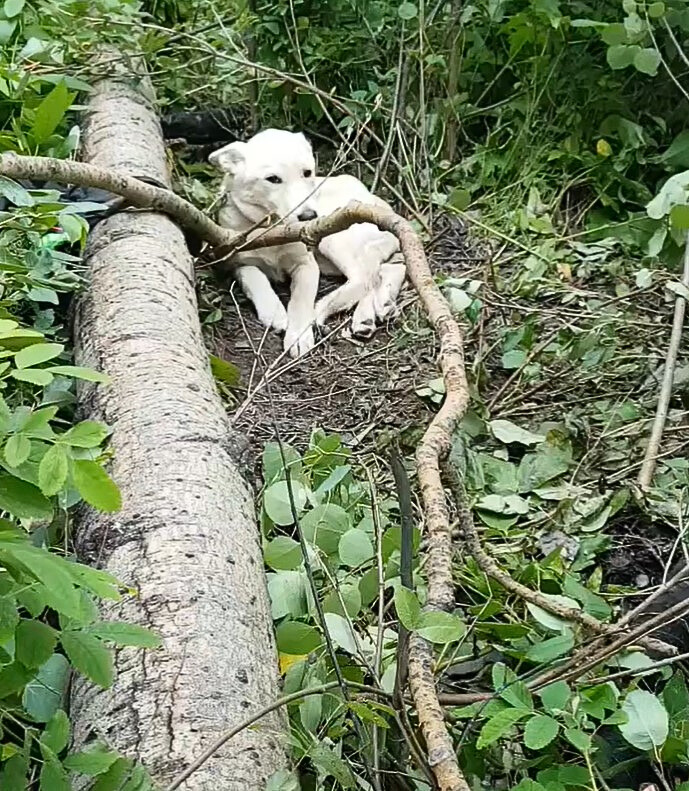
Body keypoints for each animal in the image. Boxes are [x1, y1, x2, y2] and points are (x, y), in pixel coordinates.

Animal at [208, 128, 404, 358]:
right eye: (273, 179)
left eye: (307, 173)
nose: (309, 216)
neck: (273, 230)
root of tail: (378, 203)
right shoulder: (237, 261)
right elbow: (254, 277)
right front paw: (273, 311)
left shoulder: (307, 264)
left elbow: (300, 301)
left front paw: (298, 335)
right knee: (386, 270)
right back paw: (372, 313)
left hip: (332, 235)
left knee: (364, 277)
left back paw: (323, 308)